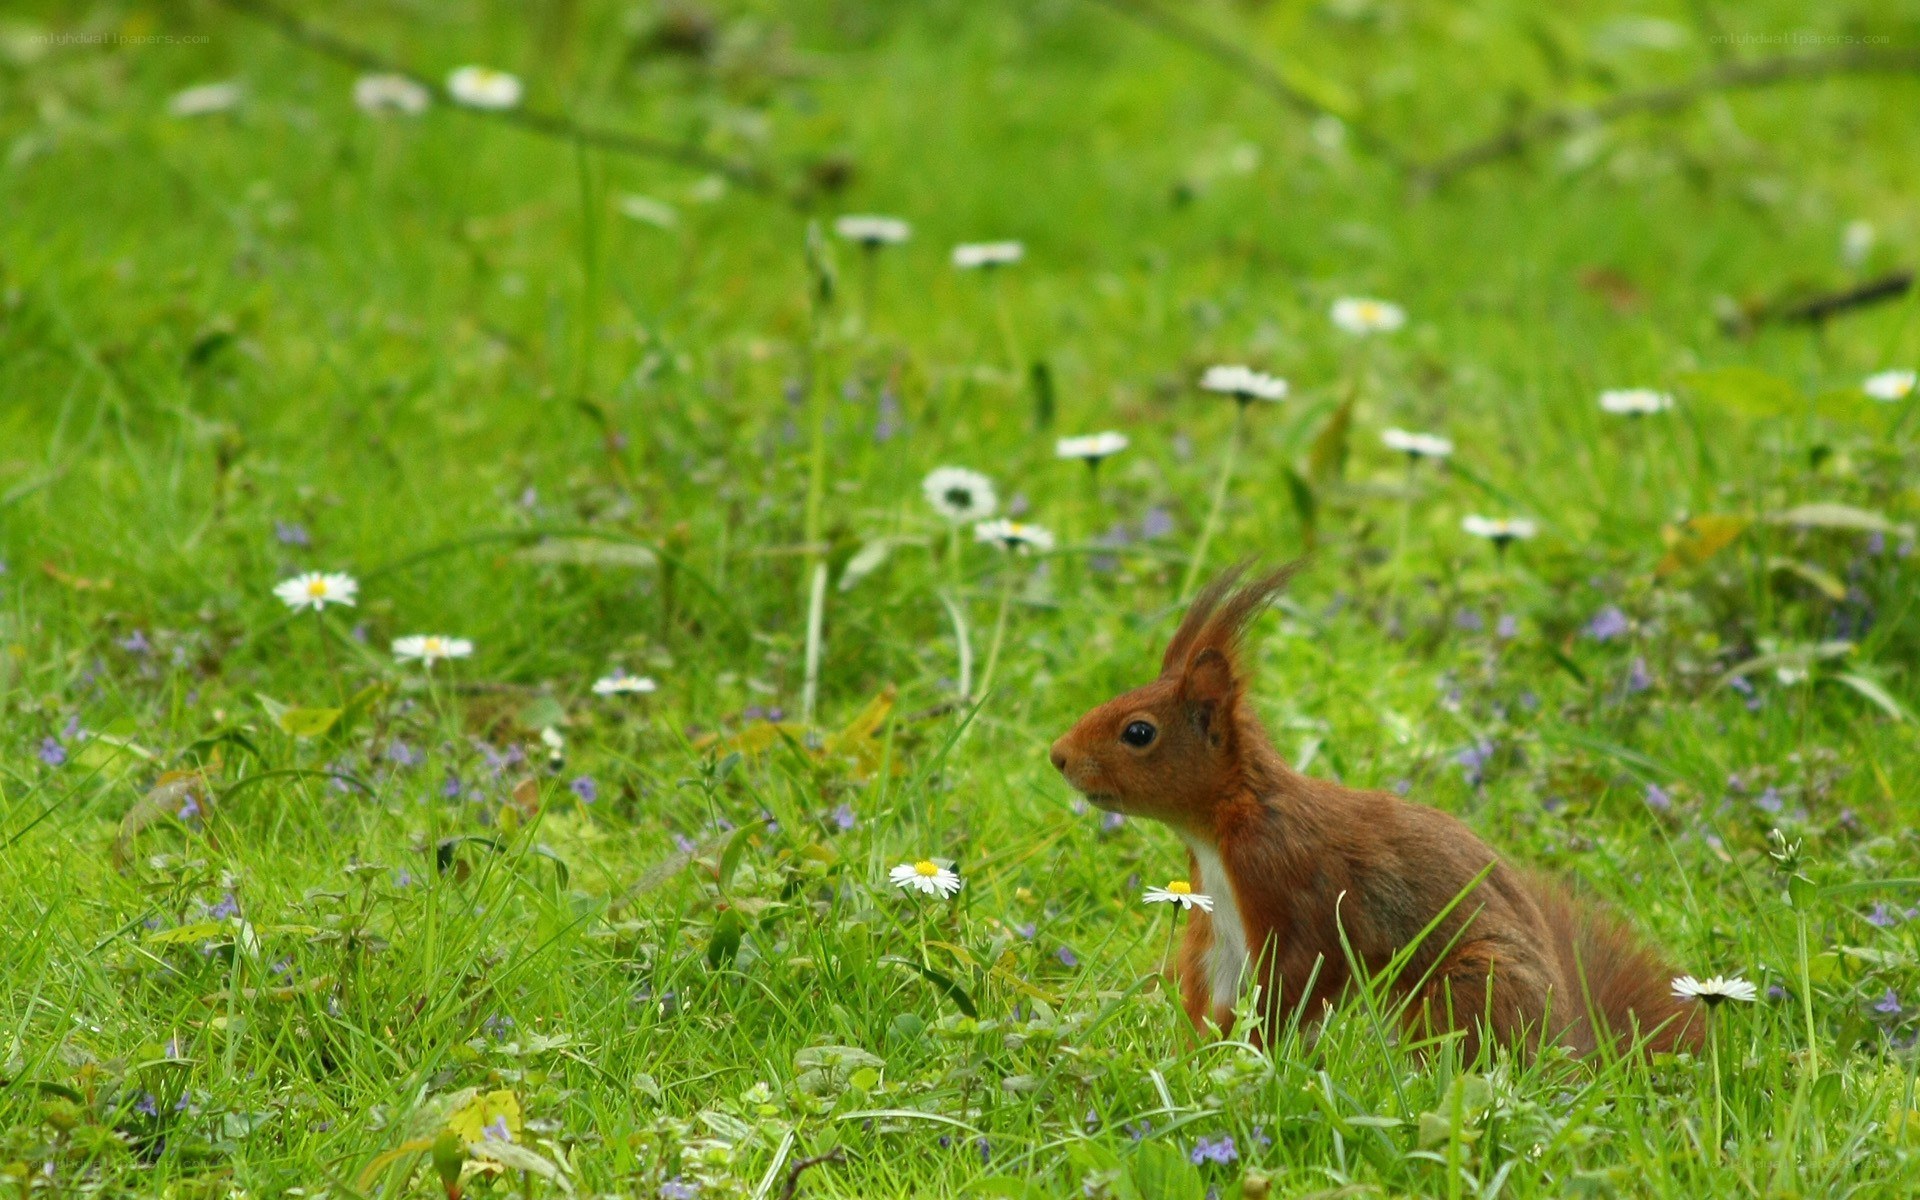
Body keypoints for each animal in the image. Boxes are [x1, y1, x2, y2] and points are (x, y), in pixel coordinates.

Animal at [1048, 564, 1702, 1060]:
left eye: (1138, 732)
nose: (1058, 756)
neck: (1228, 823)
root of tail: (1568, 1050)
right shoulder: (1219, 921)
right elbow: (1214, 987)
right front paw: (1196, 1059)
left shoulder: (1293, 882)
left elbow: (1298, 977)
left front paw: (1250, 1059)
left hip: (1470, 984)